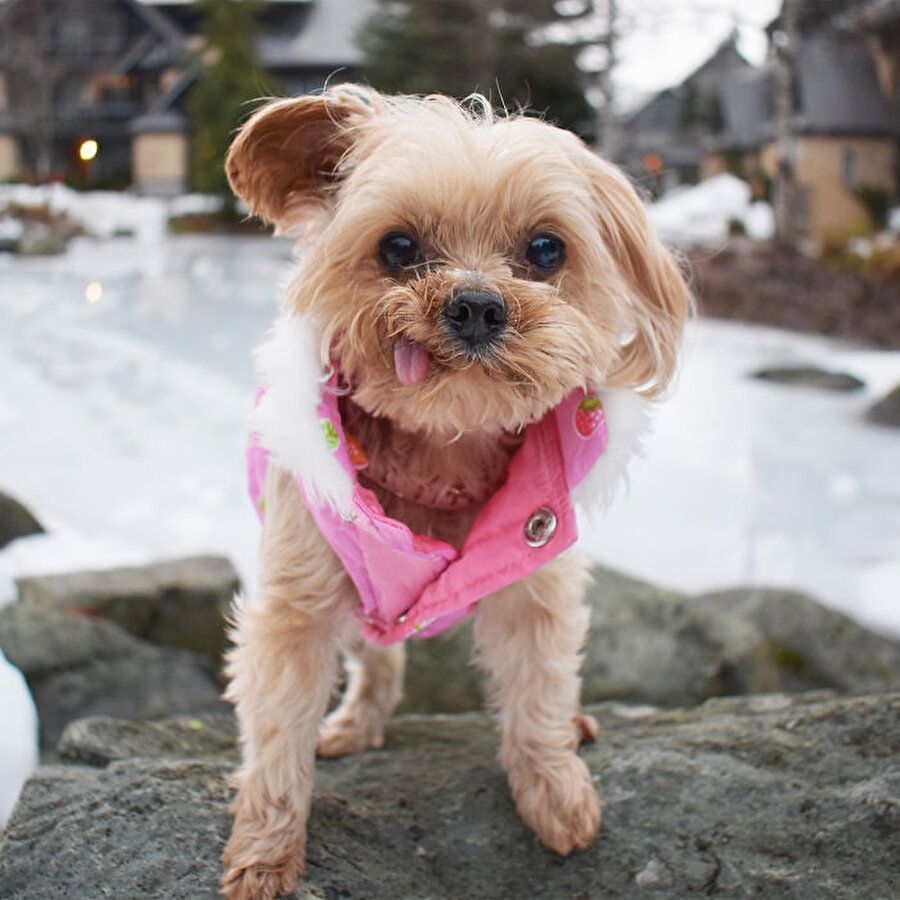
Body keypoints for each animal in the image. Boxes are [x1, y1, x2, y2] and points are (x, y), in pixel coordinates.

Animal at [220, 84, 688, 900]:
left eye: (546, 250)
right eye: (398, 248)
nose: (474, 303)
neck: (444, 442)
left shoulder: (537, 580)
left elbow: (538, 689)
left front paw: (555, 792)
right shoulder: (297, 596)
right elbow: (277, 737)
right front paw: (265, 856)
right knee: (380, 658)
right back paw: (356, 726)